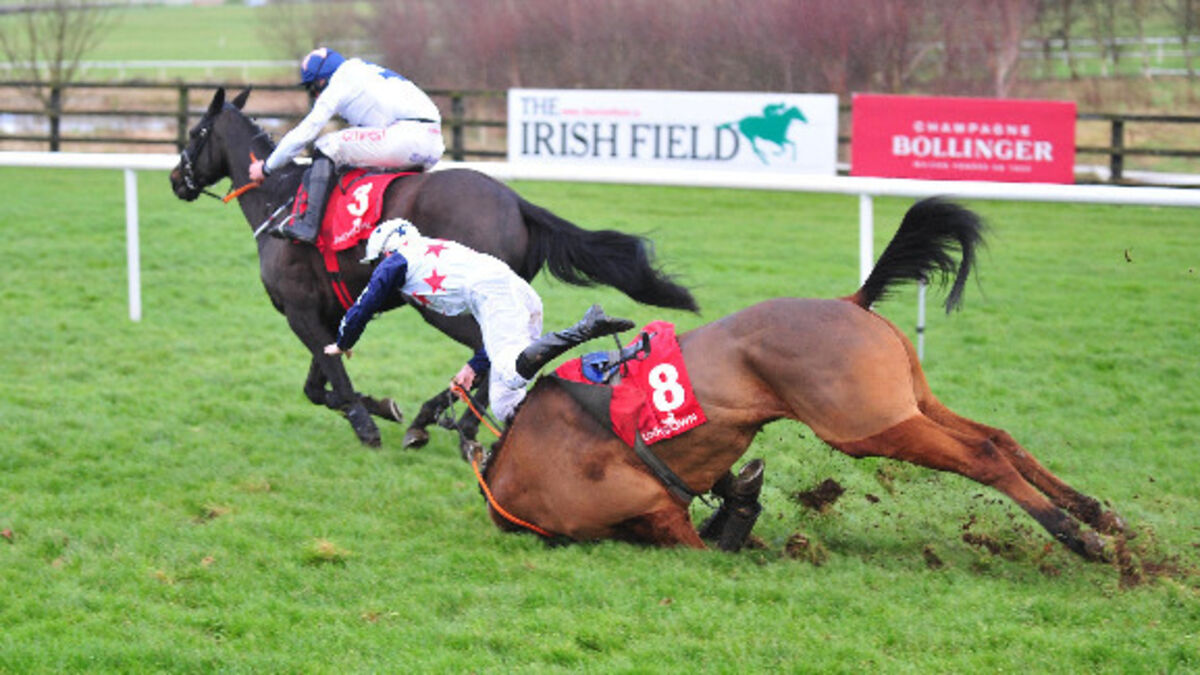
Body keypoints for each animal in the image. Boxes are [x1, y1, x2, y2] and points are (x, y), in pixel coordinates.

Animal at [169, 87, 697, 451]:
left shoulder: (300, 310)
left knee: (495, 353)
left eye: (196, 133)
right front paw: (380, 406)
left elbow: (332, 379)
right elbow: (320, 382)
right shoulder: (331, 311)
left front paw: (367, 423)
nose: (176, 179)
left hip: (448, 305)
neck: (280, 201)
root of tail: (515, 202)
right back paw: (445, 419)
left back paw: (454, 421)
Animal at [481, 198, 1126, 560]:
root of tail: (853, 301)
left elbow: (716, 546)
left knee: (983, 456)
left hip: (868, 428)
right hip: (908, 403)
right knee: (1000, 439)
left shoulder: (658, 513)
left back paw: (1080, 538)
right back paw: (1098, 515)